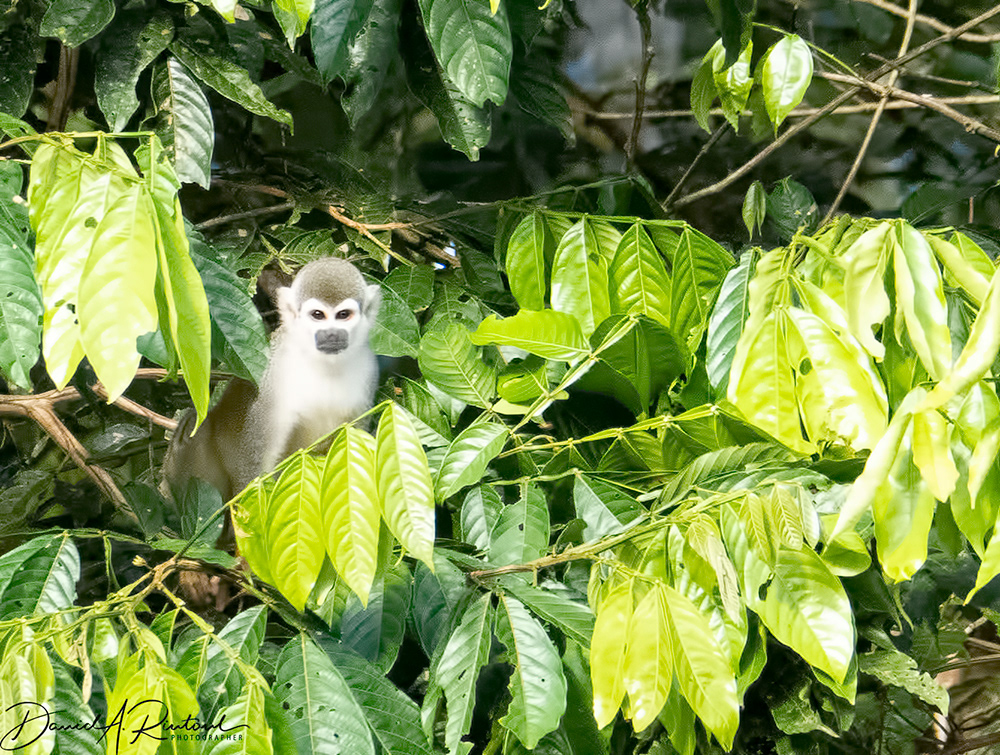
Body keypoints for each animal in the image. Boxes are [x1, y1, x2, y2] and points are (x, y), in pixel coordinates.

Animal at [163, 257, 382, 502]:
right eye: (318, 315)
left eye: (344, 315)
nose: (332, 334)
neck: (324, 365)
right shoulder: (274, 375)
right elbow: (256, 465)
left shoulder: (368, 369)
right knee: (193, 424)